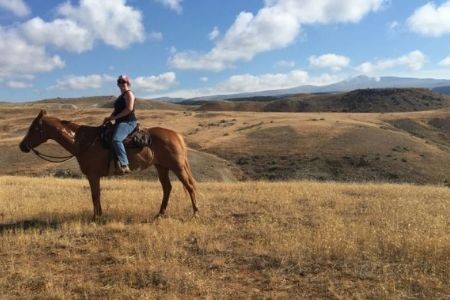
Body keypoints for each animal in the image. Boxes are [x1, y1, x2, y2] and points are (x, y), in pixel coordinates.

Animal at [18, 110, 199, 220]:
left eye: (34, 128)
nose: (22, 146)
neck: (83, 141)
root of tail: (176, 135)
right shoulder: (94, 176)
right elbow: (96, 195)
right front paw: (99, 215)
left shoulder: (93, 175)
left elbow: (94, 195)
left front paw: (96, 217)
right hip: (162, 166)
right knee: (167, 188)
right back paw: (160, 214)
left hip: (177, 167)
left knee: (189, 186)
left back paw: (196, 213)